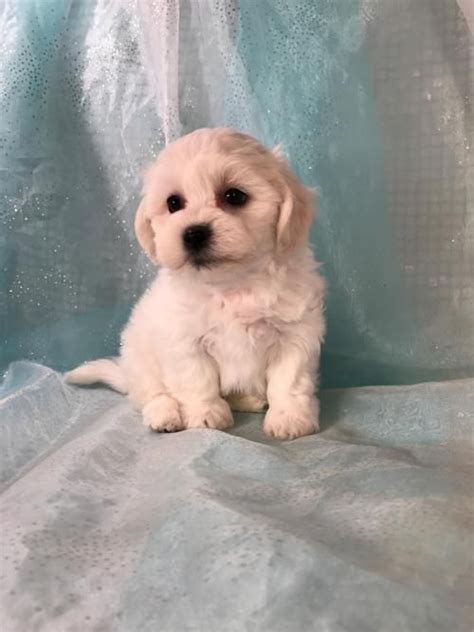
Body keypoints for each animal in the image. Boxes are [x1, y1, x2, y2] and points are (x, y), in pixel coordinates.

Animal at [65, 128, 326, 440]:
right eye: (173, 203)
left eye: (234, 196)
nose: (194, 233)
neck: (232, 284)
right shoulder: (183, 339)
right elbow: (196, 379)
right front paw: (205, 414)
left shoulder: (294, 334)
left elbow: (289, 381)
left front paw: (289, 418)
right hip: (140, 356)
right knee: (151, 394)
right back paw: (164, 414)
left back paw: (247, 399)